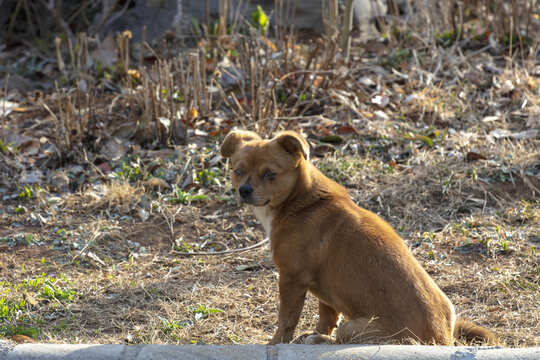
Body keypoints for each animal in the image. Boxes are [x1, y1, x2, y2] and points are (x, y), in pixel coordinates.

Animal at [220, 130, 498, 346]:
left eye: (270, 174)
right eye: (238, 170)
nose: (244, 190)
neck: (300, 200)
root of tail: (442, 339)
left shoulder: (291, 278)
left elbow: (286, 320)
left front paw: (277, 343)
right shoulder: (323, 292)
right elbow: (326, 316)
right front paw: (315, 333)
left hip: (355, 328)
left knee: (342, 336)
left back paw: (321, 341)